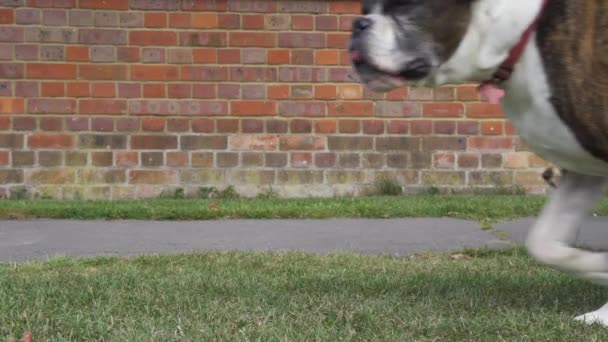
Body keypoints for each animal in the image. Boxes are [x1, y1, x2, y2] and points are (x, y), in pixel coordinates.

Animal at [350, 0, 608, 326]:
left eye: (406, 8)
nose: (358, 24)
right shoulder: (581, 167)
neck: (523, 32)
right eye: (365, 8)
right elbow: (543, 242)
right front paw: (600, 274)